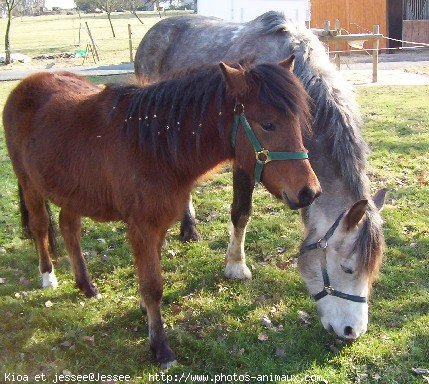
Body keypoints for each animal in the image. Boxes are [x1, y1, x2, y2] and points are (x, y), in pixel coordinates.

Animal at [2, 58, 318, 368]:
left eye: (297, 122)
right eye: (268, 124)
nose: (309, 192)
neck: (154, 147)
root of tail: (27, 85)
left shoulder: (160, 223)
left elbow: (151, 273)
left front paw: (145, 311)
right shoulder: (142, 227)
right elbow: (153, 285)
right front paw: (160, 347)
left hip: (73, 192)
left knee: (69, 228)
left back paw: (86, 285)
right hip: (30, 184)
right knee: (41, 227)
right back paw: (48, 277)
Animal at [135, 10, 386, 340]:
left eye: (373, 270)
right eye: (347, 268)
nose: (352, 331)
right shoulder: (245, 160)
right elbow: (241, 212)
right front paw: (236, 266)